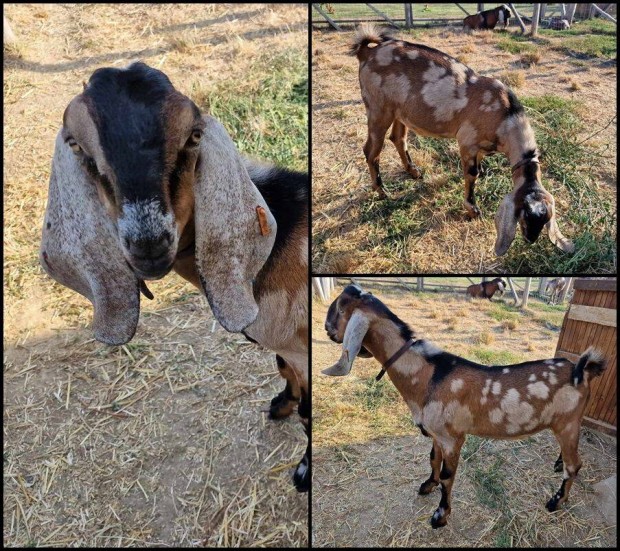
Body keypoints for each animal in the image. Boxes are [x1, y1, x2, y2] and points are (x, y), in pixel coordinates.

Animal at [38, 62, 310, 494]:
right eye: (76, 145)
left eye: (193, 136)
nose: (148, 242)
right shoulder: (290, 349)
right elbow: (284, 370)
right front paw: (280, 404)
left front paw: (303, 472)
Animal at [324, 284, 604, 532]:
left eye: (340, 307)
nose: (327, 329)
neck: (428, 374)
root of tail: (581, 371)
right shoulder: (437, 434)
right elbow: (432, 459)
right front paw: (428, 484)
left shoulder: (452, 438)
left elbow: (448, 476)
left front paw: (440, 516)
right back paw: (557, 464)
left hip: (567, 423)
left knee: (574, 465)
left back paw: (556, 501)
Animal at [348, 24, 572, 258]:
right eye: (525, 215)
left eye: (545, 219)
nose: (530, 239)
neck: (505, 115)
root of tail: (366, 53)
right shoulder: (467, 141)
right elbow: (472, 174)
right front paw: (472, 209)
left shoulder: (480, 148)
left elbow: (478, 168)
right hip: (378, 109)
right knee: (371, 150)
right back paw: (381, 191)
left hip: (400, 112)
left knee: (398, 138)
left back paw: (413, 172)